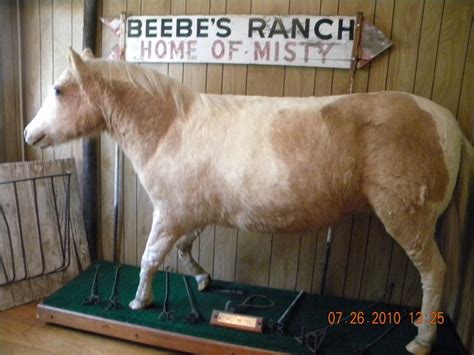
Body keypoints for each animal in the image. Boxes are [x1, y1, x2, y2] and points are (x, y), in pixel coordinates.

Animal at [25, 48, 470, 354]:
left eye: (59, 90)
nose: (30, 134)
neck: (172, 126)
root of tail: (447, 123)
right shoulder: (190, 214)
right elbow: (185, 250)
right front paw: (203, 279)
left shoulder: (168, 214)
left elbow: (151, 257)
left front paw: (139, 300)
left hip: (407, 221)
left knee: (434, 273)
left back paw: (422, 339)